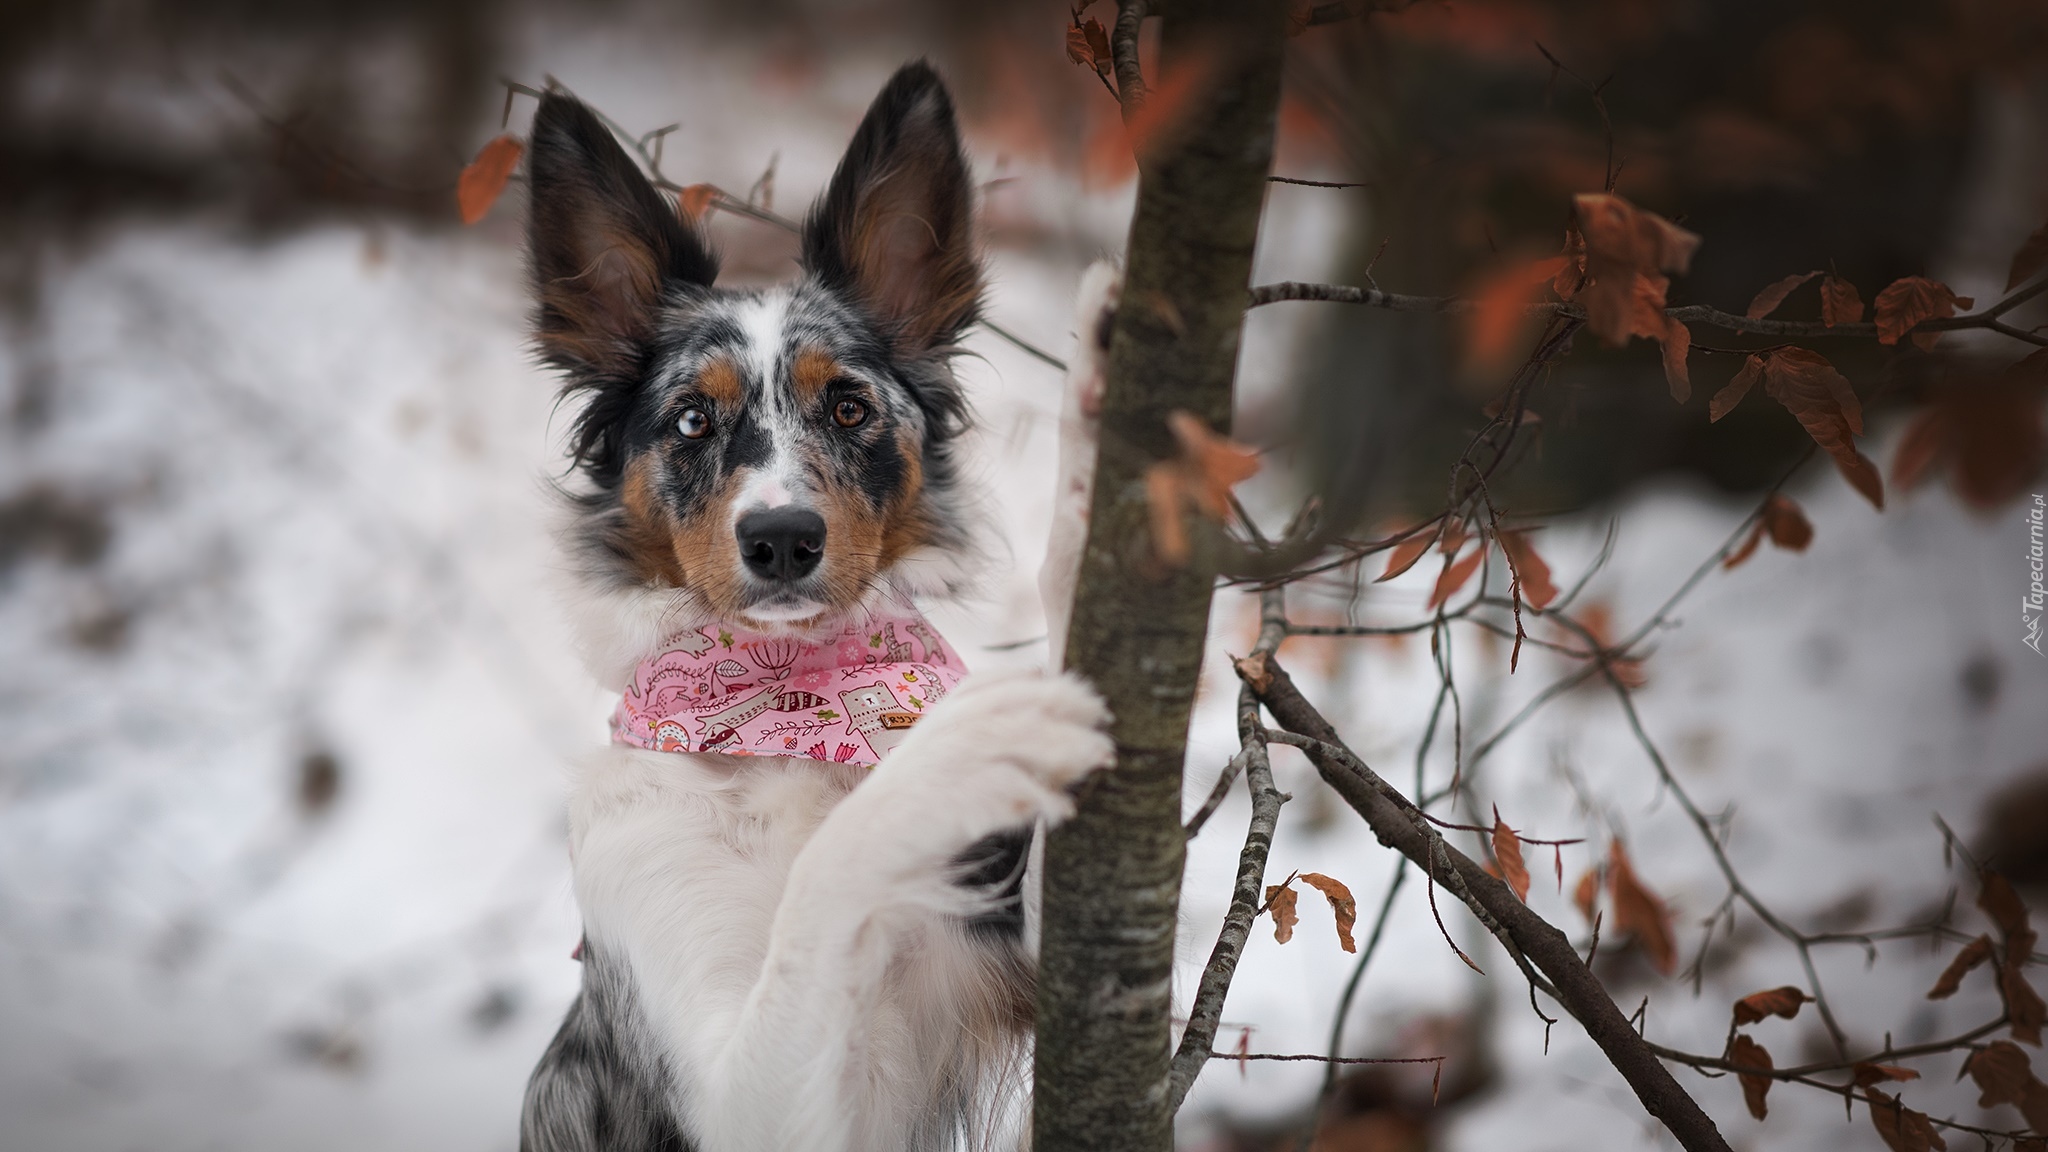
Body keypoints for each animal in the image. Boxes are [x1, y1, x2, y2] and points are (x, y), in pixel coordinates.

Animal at [512, 60, 1122, 1147]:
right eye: (691, 418)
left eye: (847, 406)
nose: (784, 540)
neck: (785, 707)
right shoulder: (749, 1100)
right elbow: (825, 875)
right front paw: (955, 748)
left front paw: (1113, 397)